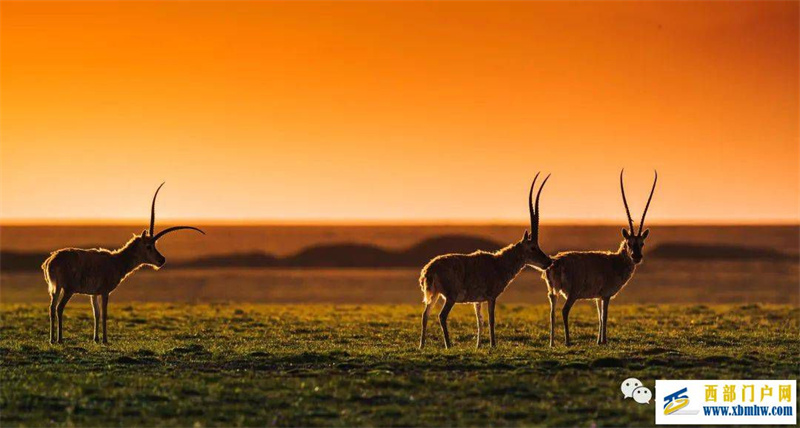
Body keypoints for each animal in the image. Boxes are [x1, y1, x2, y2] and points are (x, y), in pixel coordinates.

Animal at [41, 184, 205, 344]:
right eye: (148, 246)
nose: (162, 260)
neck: (116, 260)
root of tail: (51, 260)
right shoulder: (105, 292)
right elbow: (104, 313)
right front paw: (105, 340)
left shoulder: (93, 294)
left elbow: (96, 314)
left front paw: (96, 339)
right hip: (68, 289)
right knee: (59, 308)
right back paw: (59, 339)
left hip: (55, 289)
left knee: (52, 308)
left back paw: (51, 340)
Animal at [418, 172, 556, 350]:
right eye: (533, 247)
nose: (548, 262)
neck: (499, 263)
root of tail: (429, 269)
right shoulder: (491, 297)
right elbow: (491, 320)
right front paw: (493, 345)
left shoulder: (477, 301)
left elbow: (480, 321)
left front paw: (478, 346)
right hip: (450, 297)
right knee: (441, 316)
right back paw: (448, 346)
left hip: (434, 295)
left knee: (425, 314)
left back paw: (421, 346)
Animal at [540, 169, 660, 346]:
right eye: (629, 242)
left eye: (642, 243)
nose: (637, 257)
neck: (615, 262)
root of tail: (555, 263)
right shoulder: (606, 296)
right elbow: (605, 315)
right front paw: (604, 341)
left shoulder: (598, 297)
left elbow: (599, 316)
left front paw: (598, 340)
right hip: (573, 293)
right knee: (564, 310)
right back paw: (568, 341)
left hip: (552, 291)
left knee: (552, 310)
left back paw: (552, 343)